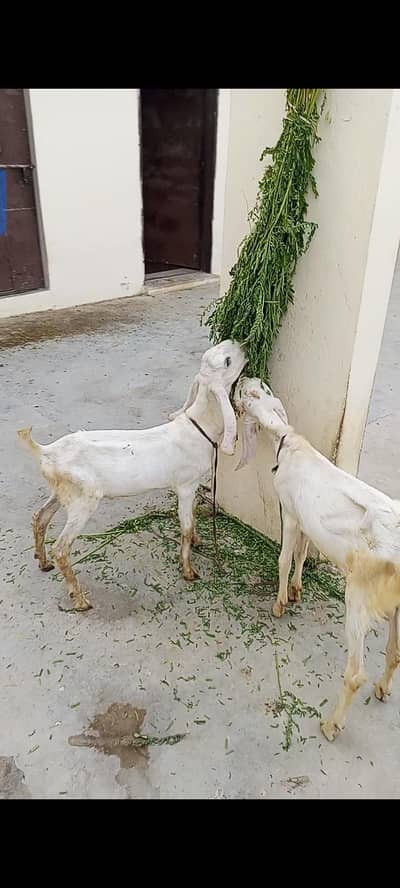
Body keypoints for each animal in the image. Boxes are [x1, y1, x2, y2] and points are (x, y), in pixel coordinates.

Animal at [18, 340, 247, 612]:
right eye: (228, 362)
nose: (242, 344)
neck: (199, 427)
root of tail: (46, 451)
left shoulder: (188, 487)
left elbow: (191, 520)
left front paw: (199, 541)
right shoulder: (186, 485)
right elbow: (186, 526)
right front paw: (189, 571)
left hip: (62, 491)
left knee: (40, 518)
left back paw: (43, 562)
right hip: (84, 500)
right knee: (62, 548)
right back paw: (80, 599)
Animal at [234, 377, 400, 742]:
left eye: (255, 392)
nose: (245, 379)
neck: (291, 443)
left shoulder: (290, 512)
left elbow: (285, 556)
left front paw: (280, 603)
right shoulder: (305, 519)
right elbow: (302, 553)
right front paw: (297, 590)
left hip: (359, 597)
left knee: (355, 673)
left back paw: (331, 725)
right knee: (395, 651)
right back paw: (383, 689)